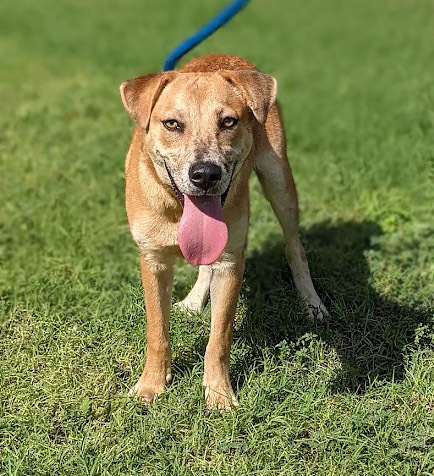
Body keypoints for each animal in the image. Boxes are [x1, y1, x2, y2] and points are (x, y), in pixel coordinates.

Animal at [120, 53, 328, 410]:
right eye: (172, 124)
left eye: (228, 121)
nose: (205, 174)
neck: (177, 212)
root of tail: (229, 57)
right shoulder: (153, 260)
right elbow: (157, 331)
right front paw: (151, 385)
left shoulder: (232, 262)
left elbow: (219, 337)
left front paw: (219, 395)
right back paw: (192, 302)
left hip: (279, 180)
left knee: (295, 248)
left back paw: (312, 303)